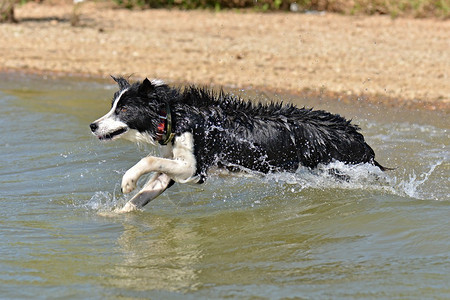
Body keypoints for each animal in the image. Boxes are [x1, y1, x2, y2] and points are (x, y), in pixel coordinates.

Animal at [89, 76, 384, 212]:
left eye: (123, 110)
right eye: (112, 106)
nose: (93, 125)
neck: (175, 115)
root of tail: (354, 133)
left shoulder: (194, 169)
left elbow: (148, 160)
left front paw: (127, 181)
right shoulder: (174, 166)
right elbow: (144, 194)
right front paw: (114, 215)